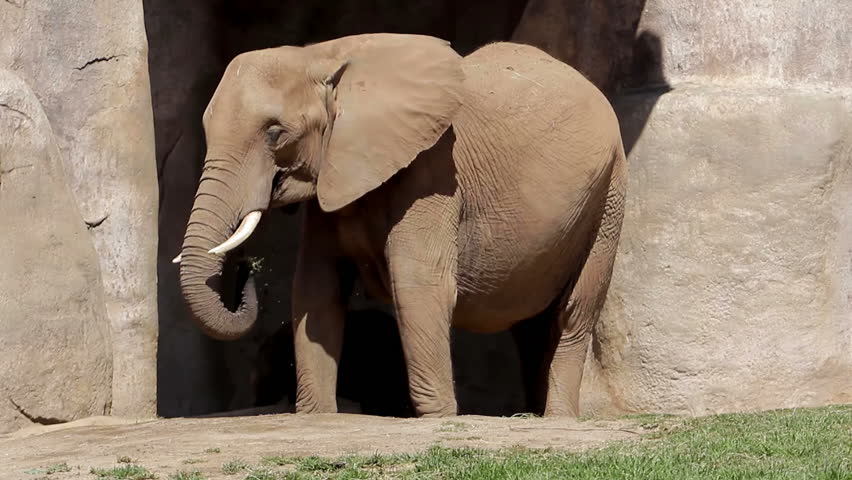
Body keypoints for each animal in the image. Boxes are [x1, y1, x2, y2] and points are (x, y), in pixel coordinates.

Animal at [173, 33, 626, 417]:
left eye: (274, 133)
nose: (248, 265)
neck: (323, 56)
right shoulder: (336, 170)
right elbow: (316, 287)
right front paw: (317, 415)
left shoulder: (434, 168)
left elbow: (417, 281)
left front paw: (437, 417)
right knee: (530, 325)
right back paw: (531, 414)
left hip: (609, 195)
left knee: (573, 311)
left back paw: (557, 418)